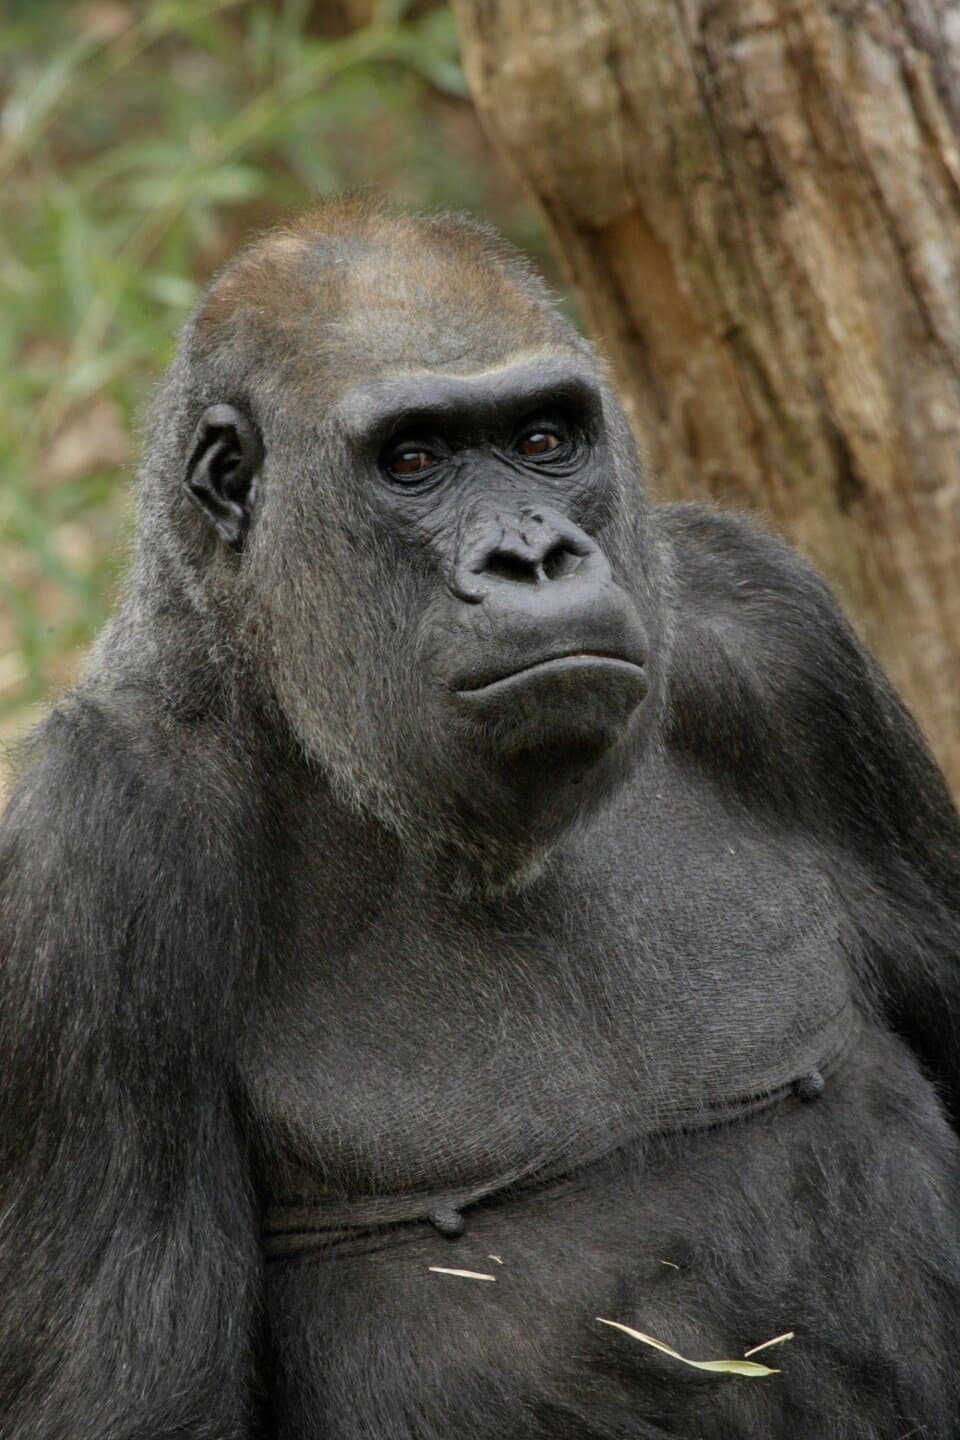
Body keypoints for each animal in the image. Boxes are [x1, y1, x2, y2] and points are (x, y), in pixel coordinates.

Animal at [2, 197, 960, 1440]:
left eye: (545, 439)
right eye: (414, 460)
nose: (536, 556)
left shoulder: (778, 635)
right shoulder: (86, 856)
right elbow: (140, 1405)